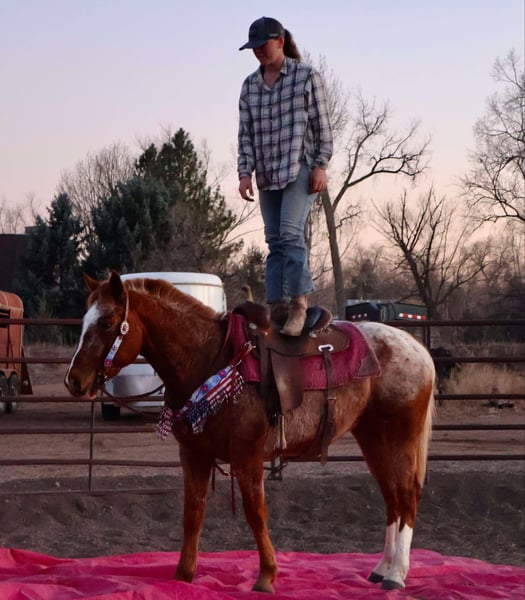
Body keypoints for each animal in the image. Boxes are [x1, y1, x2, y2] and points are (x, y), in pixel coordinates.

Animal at [65, 272, 435, 593]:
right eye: (84, 322)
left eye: (107, 323)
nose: (74, 381)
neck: (210, 360)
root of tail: (418, 350)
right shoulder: (194, 455)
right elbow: (192, 513)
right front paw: (184, 575)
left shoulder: (248, 455)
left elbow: (256, 513)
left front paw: (266, 576)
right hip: (373, 438)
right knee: (391, 497)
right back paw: (381, 569)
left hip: (401, 437)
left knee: (406, 496)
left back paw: (396, 575)